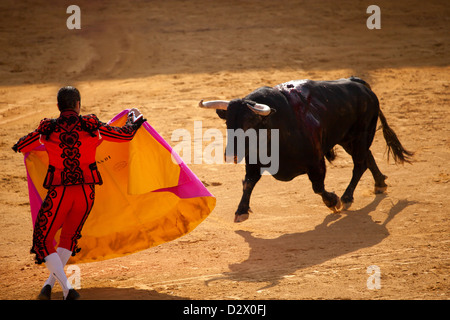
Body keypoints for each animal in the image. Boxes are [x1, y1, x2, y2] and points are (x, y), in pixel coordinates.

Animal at [200, 77, 412, 222]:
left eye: (249, 124)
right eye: (228, 123)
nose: (231, 155)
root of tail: (358, 83)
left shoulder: (316, 161)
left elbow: (318, 187)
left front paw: (333, 201)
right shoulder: (254, 161)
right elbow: (248, 183)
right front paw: (241, 211)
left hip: (361, 134)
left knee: (359, 164)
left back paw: (347, 197)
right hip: (348, 139)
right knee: (367, 157)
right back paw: (380, 183)